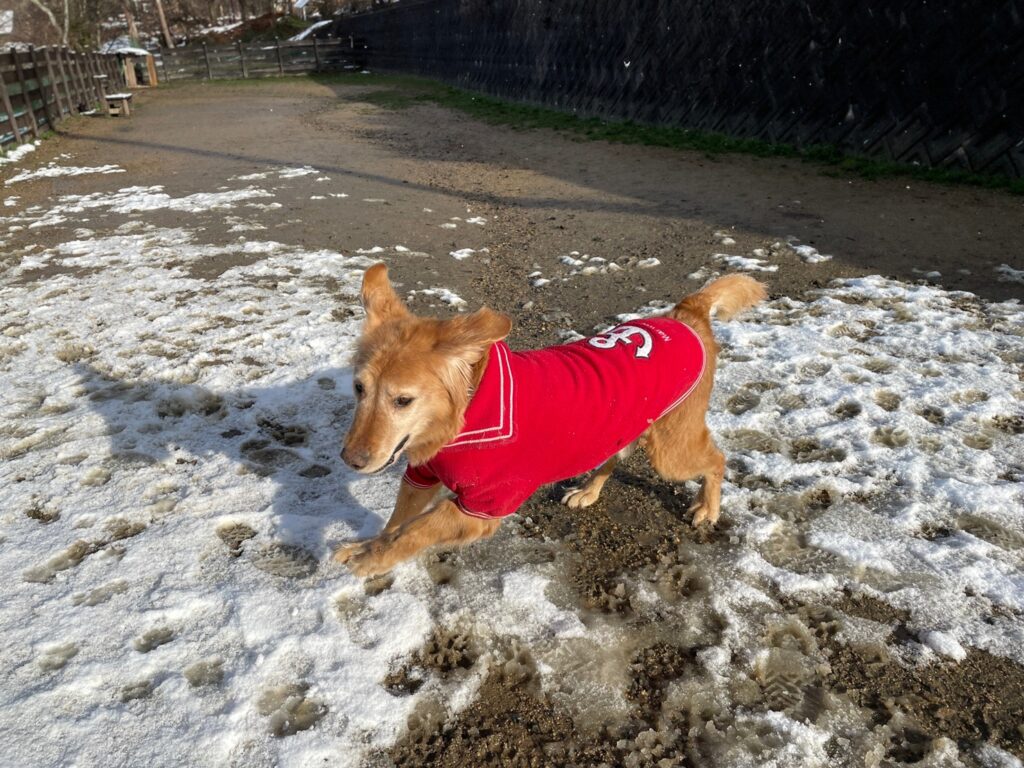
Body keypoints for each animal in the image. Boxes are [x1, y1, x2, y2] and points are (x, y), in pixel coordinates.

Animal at [334, 263, 766, 577]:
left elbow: (412, 533)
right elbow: (396, 522)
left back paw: (707, 507)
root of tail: (686, 313)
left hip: (671, 451)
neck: (464, 416)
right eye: (358, 388)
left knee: (716, 460)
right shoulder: (421, 475)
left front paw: (372, 560)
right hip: (619, 426)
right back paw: (589, 490)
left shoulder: (481, 509)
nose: (351, 460)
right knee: (613, 455)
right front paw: (368, 545)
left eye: (403, 400)